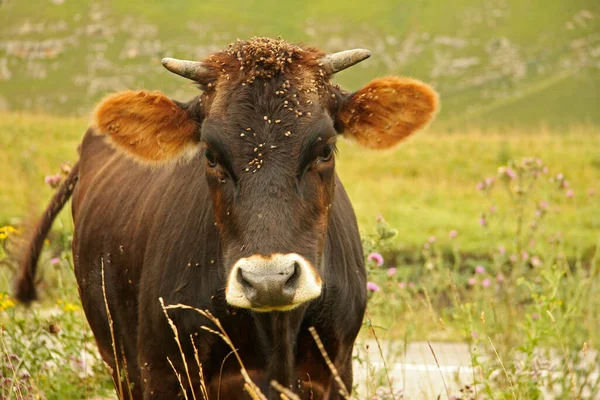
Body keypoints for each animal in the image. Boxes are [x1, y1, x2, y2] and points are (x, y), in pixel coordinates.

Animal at [12, 36, 436, 398]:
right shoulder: (163, 374)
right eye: (211, 155)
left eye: (325, 149)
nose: (269, 280)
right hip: (117, 356)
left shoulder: (337, 374)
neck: (276, 333)